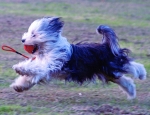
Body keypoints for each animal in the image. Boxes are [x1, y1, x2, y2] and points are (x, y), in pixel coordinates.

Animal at [10, 16, 146, 99]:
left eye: (34, 34)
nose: (23, 40)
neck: (50, 47)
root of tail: (105, 45)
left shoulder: (51, 63)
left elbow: (36, 67)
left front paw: (20, 68)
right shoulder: (44, 70)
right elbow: (29, 78)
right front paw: (19, 86)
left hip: (113, 64)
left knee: (130, 65)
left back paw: (142, 73)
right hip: (108, 72)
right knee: (124, 80)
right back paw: (131, 91)